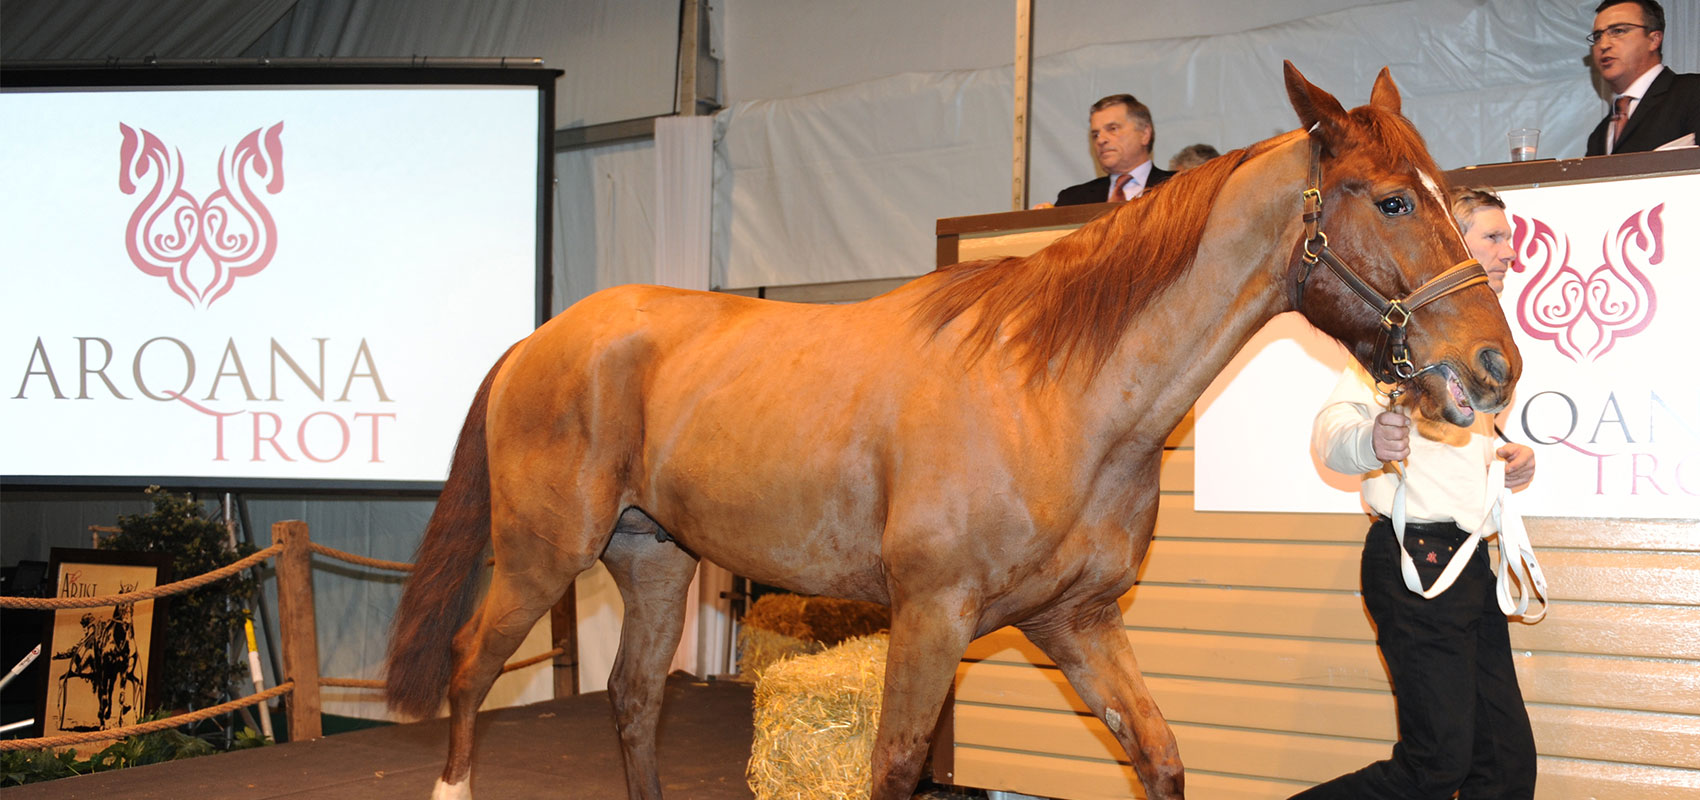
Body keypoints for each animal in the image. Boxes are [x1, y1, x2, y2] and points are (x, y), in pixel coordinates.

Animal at [391, 64, 1523, 800]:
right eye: (1391, 200)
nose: (1492, 367)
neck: (1052, 393)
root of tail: (542, 338)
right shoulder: (931, 616)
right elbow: (893, 768)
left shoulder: (1079, 623)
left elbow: (1159, 758)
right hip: (542, 554)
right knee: (469, 669)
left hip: (655, 560)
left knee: (631, 700)